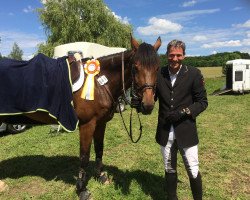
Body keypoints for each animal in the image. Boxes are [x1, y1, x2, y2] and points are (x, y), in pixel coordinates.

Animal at [0, 35, 161, 199]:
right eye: (135, 67)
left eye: (157, 68)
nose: (148, 105)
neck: (99, 84)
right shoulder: (87, 125)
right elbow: (84, 156)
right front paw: (82, 189)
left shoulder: (101, 123)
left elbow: (99, 149)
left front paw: (101, 176)